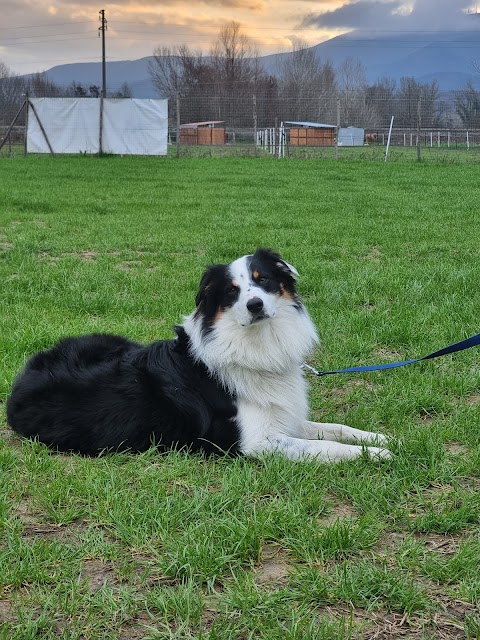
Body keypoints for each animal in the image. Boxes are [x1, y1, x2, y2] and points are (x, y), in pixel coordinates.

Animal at [6, 248, 390, 462]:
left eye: (263, 279)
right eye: (231, 291)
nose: (254, 305)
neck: (253, 343)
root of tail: (22, 379)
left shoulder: (285, 418)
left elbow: (335, 429)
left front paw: (378, 438)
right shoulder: (254, 443)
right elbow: (323, 448)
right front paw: (375, 455)